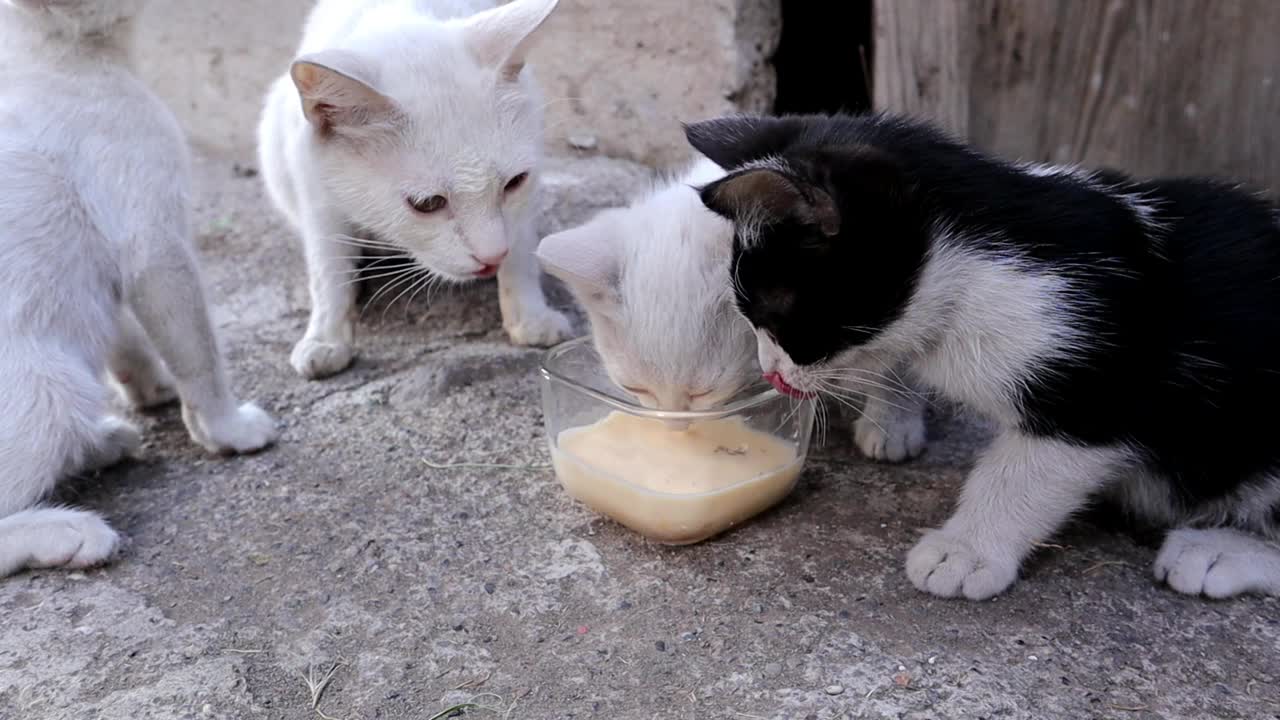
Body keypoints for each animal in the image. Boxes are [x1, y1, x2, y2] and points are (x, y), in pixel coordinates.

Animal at [0, 0, 281, 573]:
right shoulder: (154, 242)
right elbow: (199, 351)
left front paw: (151, 388)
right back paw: (70, 531)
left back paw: (103, 441)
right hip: (49, 388)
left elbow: (128, 335)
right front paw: (227, 429)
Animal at [257, 0, 573, 381]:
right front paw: (326, 339)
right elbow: (326, 271)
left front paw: (530, 316)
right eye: (428, 204)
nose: (491, 257)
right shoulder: (316, 194)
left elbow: (521, 251)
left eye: (514, 183)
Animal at [686, 112, 1280, 599]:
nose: (771, 373)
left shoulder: (1105, 376)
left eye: (770, 315)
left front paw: (966, 549)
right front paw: (893, 417)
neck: (976, 276)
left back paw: (1215, 551)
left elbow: (1026, 469)